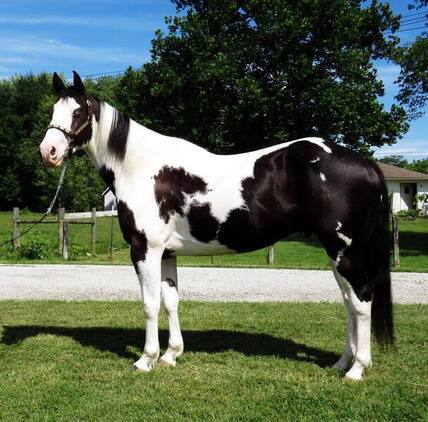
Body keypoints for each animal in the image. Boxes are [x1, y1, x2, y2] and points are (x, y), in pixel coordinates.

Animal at [38, 73, 392, 382]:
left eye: (78, 111)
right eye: (53, 111)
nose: (49, 152)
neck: (141, 168)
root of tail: (366, 164)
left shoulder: (144, 250)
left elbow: (150, 303)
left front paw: (146, 359)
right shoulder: (166, 253)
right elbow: (171, 300)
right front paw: (171, 355)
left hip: (345, 250)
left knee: (361, 300)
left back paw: (357, 369)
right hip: (337, 252)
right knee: (349, 301)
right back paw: (342, 362)